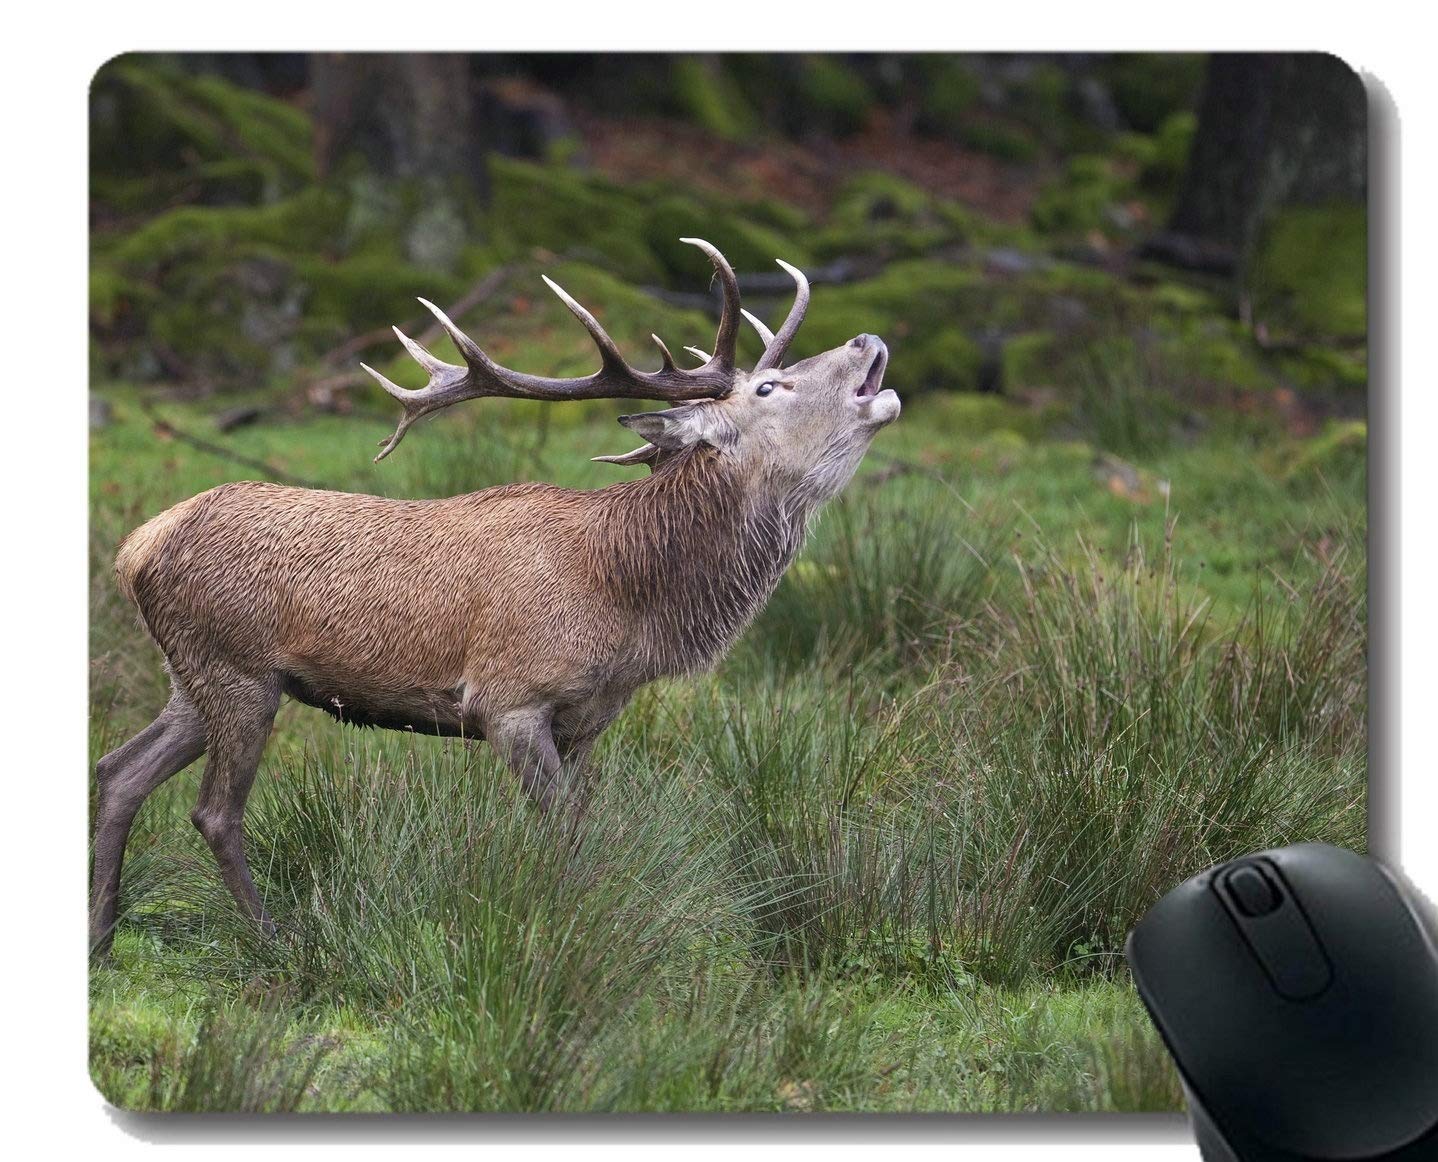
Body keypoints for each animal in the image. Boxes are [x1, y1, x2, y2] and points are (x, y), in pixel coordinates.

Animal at [90, 239, 900, 955]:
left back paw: (101, 935)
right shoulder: (509, 700)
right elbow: (563, 835)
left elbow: (574, 829)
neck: (628, 602)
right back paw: (273, 940)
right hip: (237, 670)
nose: (866, 339)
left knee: (119, 770)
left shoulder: (589, 720)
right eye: (769, 386)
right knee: (213, 812)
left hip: (193, 675)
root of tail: (137, 547)